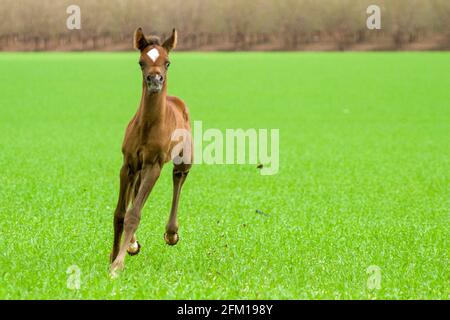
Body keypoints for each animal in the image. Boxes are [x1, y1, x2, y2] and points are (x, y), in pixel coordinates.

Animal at [111, 26, 192, 276]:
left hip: (183, 159)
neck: (147, 125)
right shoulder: (127, 165)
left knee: (178, 177)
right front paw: (114, 255)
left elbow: (133, 214)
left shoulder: (154, 166)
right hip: (138, 169)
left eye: (167, 62)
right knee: (136, 191)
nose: (155, 80)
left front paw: (117, 266)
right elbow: (120, 213)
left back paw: (172, 233)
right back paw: (133, 244)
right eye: (141, 62)